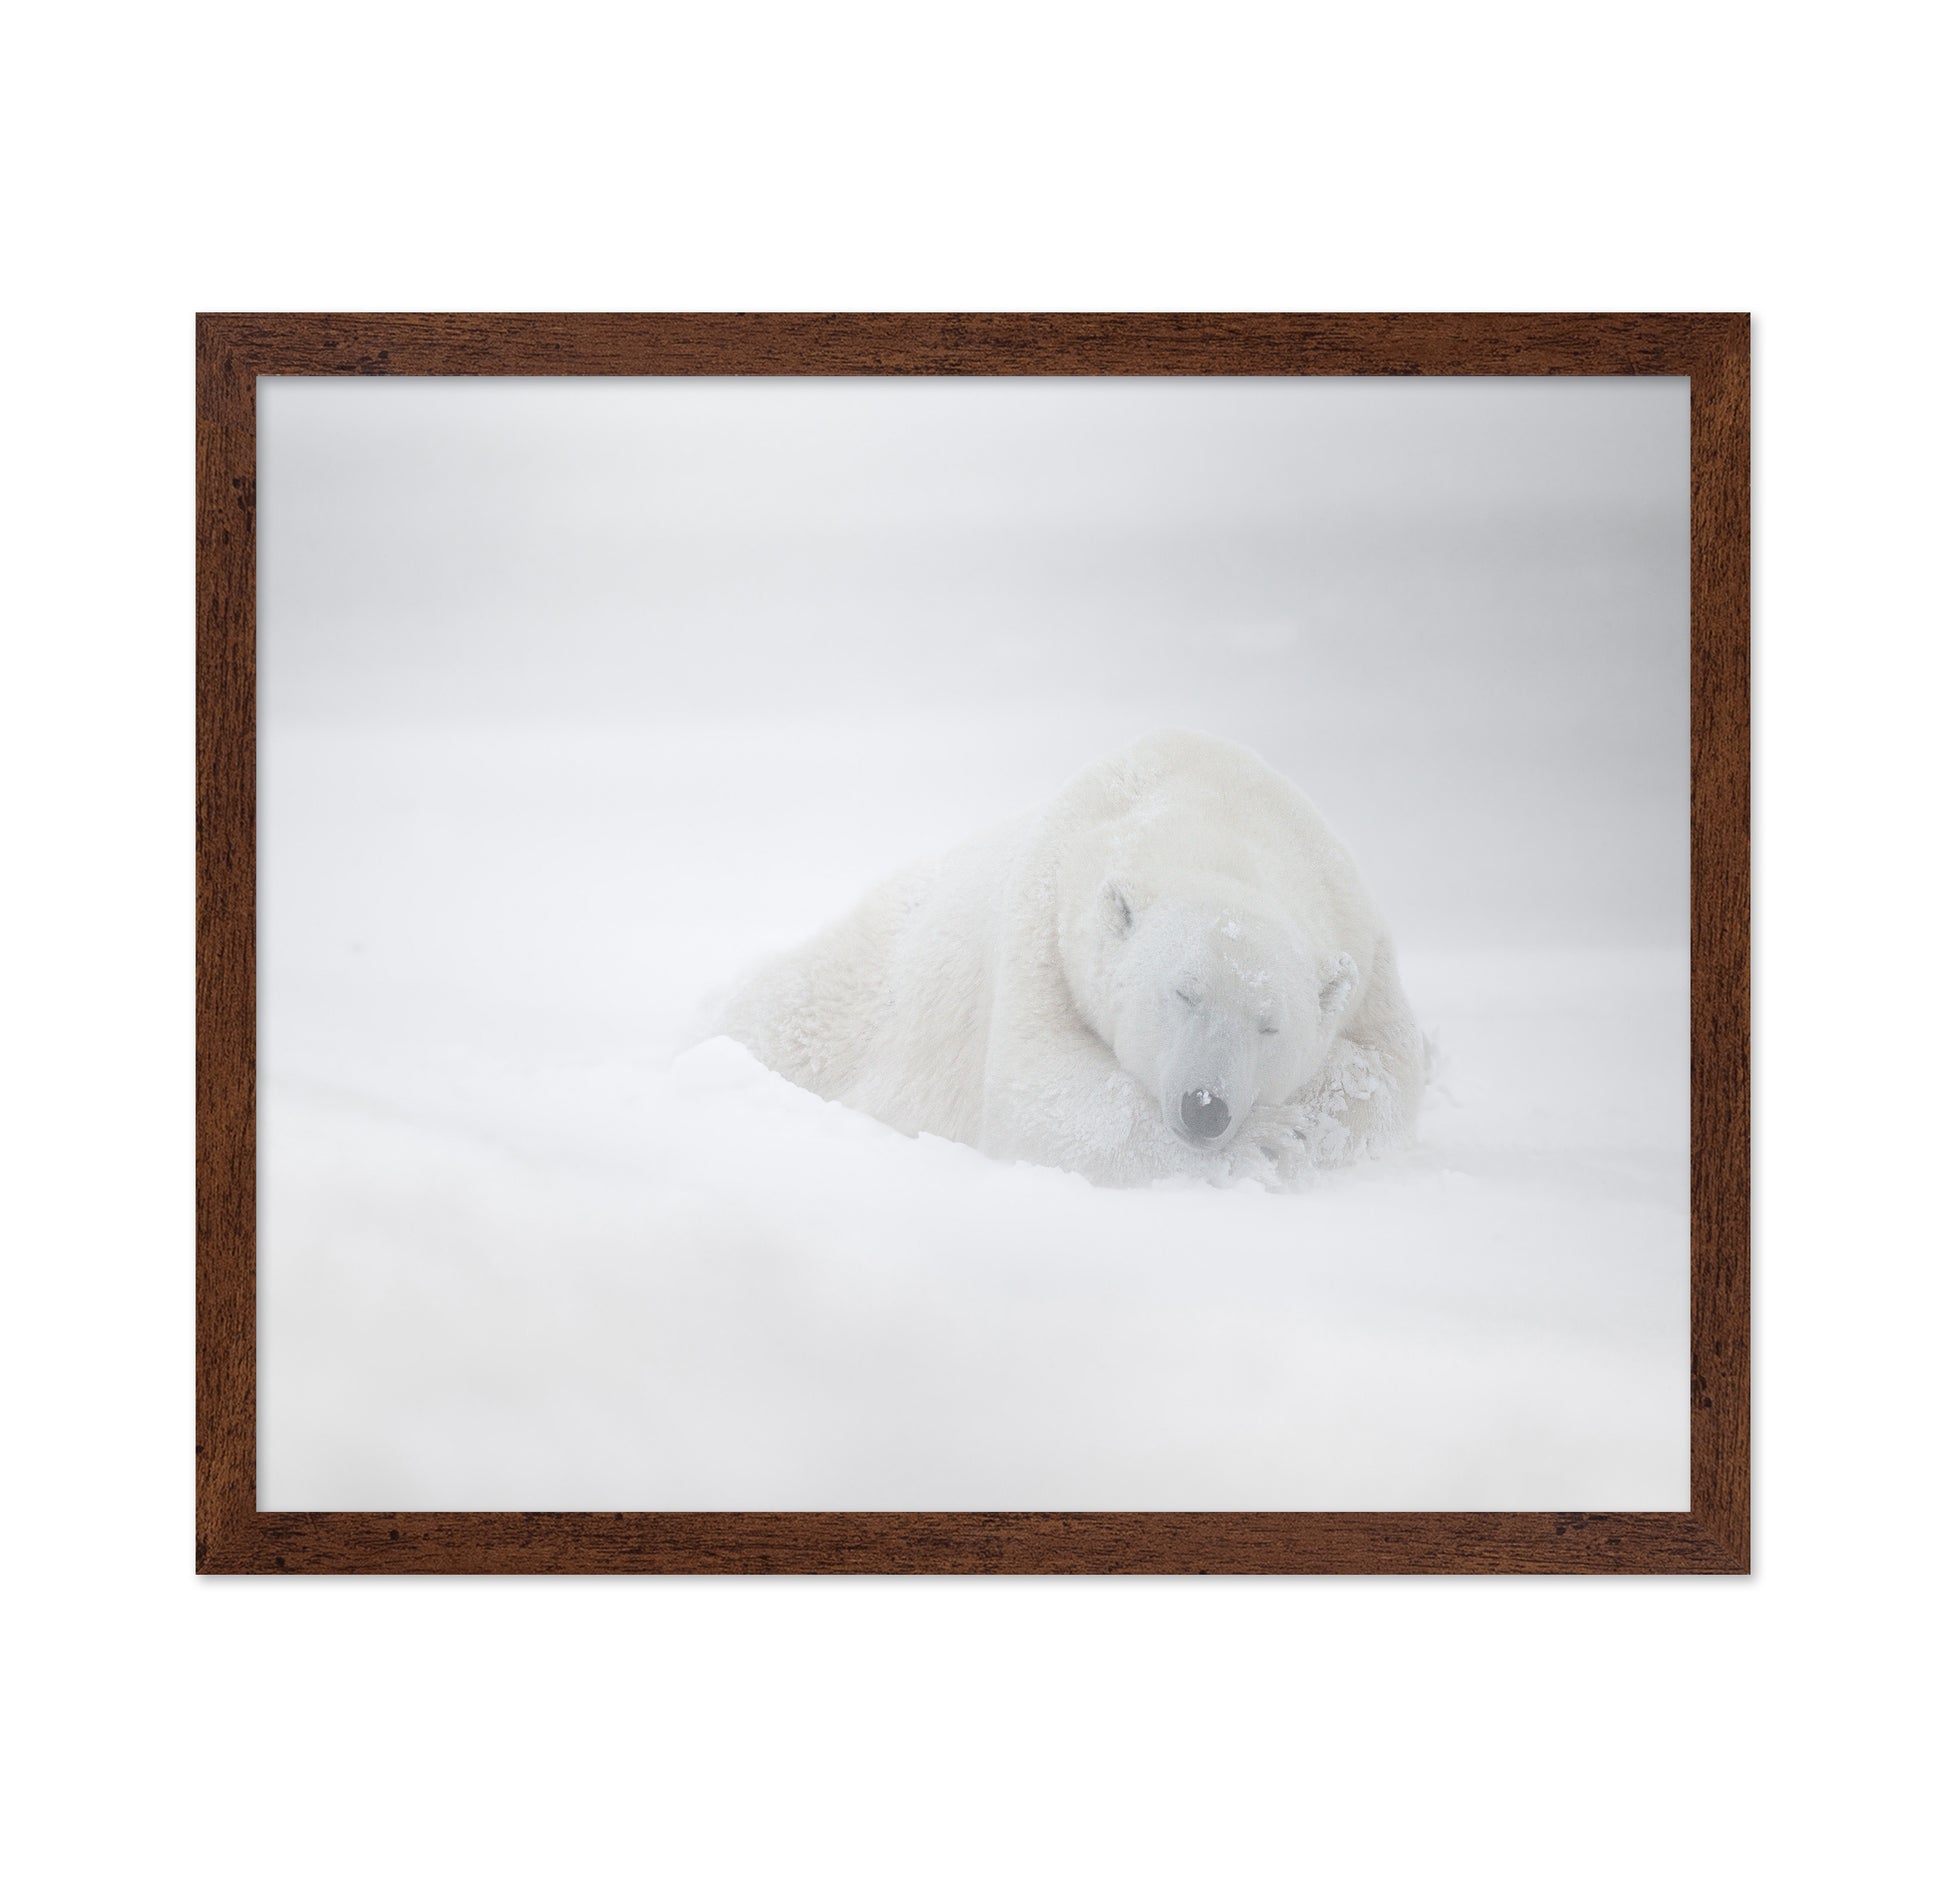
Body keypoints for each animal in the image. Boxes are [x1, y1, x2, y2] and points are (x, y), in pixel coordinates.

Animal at [719, 730, 1426, 1189]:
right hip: (854, 991)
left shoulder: (1364, 943)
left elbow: (1386, 1078)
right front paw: (1267, 1138)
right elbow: (1040, 1091)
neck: (1221, 813)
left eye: (1269, 1024)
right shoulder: (1045, 922)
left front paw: (1302, 1126)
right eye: (1182, 993)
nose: (1206, 1106)